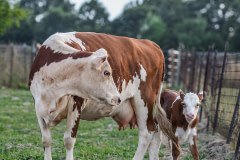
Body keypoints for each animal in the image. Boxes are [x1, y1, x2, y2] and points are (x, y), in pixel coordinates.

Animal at [28, 31, 178, 159]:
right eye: (107, 73)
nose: (118, 98)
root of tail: (151, 44)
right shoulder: (38, 106)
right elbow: (46, 140)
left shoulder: (76, 104)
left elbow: (68, 140)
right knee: (155, 133)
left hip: (144, 100)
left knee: (147, 133)